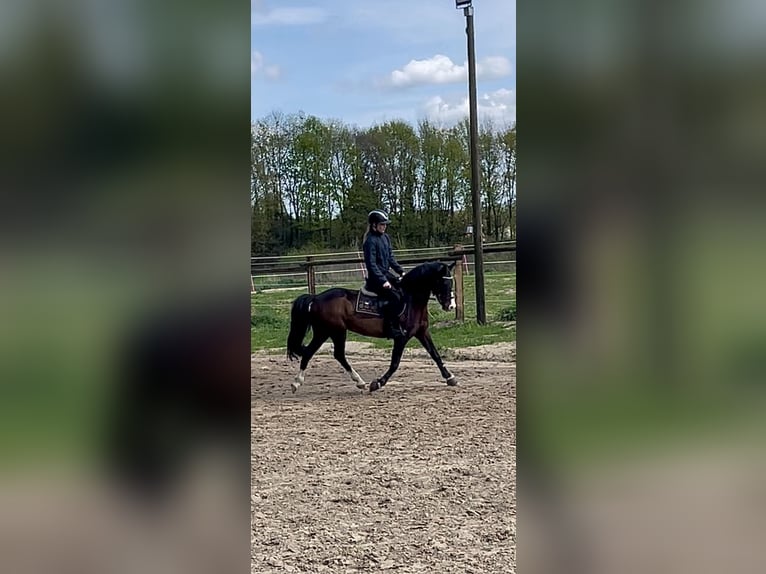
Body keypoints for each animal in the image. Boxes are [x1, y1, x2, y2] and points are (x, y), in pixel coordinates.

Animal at [286, 262, 456, 394]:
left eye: (452, 282)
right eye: (443, 282)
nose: (451, 306)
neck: (411, 300)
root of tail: (315, 298)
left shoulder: (422, 333)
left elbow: (435, 354)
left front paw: (450, 377)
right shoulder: (402, 338)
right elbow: (395, 363)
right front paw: (378, 383)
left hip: (329, 332)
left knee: (327, 354)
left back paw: (358, 382)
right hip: (332, 331)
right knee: (321, 353)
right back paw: (297, 383)